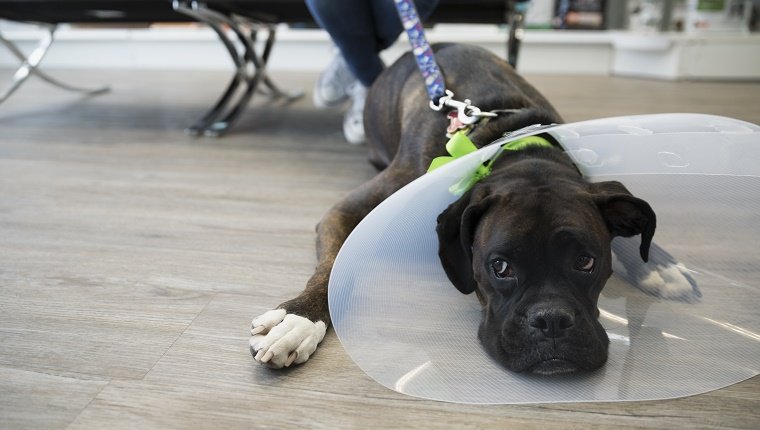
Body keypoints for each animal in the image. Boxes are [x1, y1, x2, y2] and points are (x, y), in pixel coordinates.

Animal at [248, 42, 696, 372]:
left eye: (587, 262)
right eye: (500, 267)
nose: (551, 321)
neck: (505, 140)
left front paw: (659, 265)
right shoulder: (347, 211)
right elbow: (331, 268)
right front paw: (298, 320)